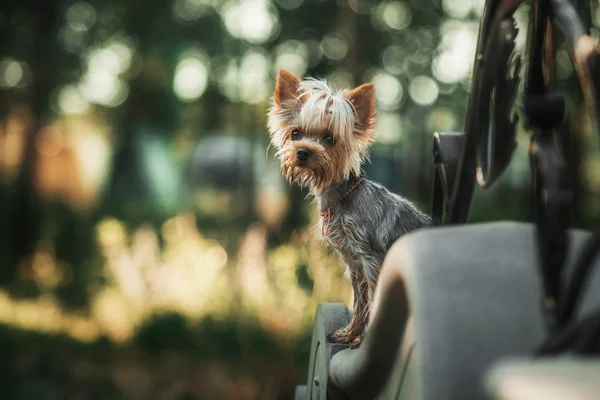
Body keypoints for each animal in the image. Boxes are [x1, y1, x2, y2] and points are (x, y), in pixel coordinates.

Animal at [268, 69, 432, 346]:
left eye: (330, 139)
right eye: (295, 134)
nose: (303, 151)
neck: (342, 197)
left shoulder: (371, 260)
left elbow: (374, 301)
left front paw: (364, 340)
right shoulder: (355, 265)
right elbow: (360, 301)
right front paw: (351, 333)